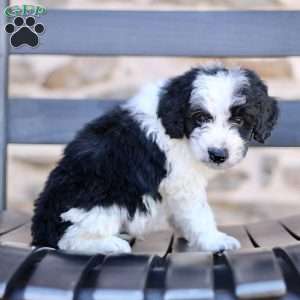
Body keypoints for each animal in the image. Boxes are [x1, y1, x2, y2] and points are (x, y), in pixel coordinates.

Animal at [31, 64, 278, 254]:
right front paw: (214, 240)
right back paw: (111, 244)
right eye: (199, 117)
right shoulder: (182, 181)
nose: (217, 154)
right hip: (104, 197)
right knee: (70, 238)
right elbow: (199, 212)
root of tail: (42, 230)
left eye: (239, 120)